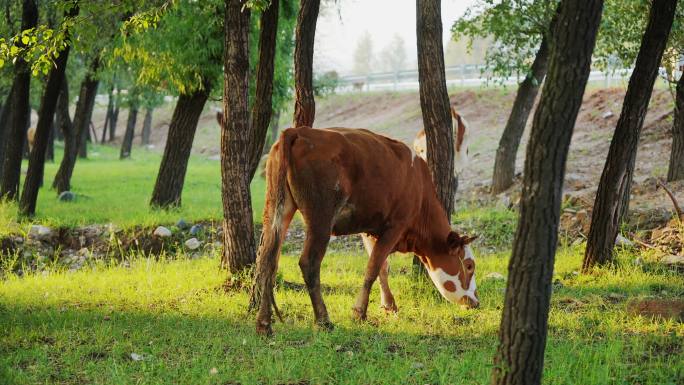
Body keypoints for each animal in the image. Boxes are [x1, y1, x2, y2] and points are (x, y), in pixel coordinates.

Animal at [252, 125, 480, 332]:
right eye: (469, 266)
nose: (477, 301)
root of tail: (298, 131)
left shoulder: (370, 230)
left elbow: (382, 268)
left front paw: (389, 305)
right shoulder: (396, 225)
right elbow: (373, 267)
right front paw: (359, 312)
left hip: (276, 208)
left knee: (267, 260)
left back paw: (264, 323)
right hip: (321, 218)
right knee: (309, 263)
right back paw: (324, 320)